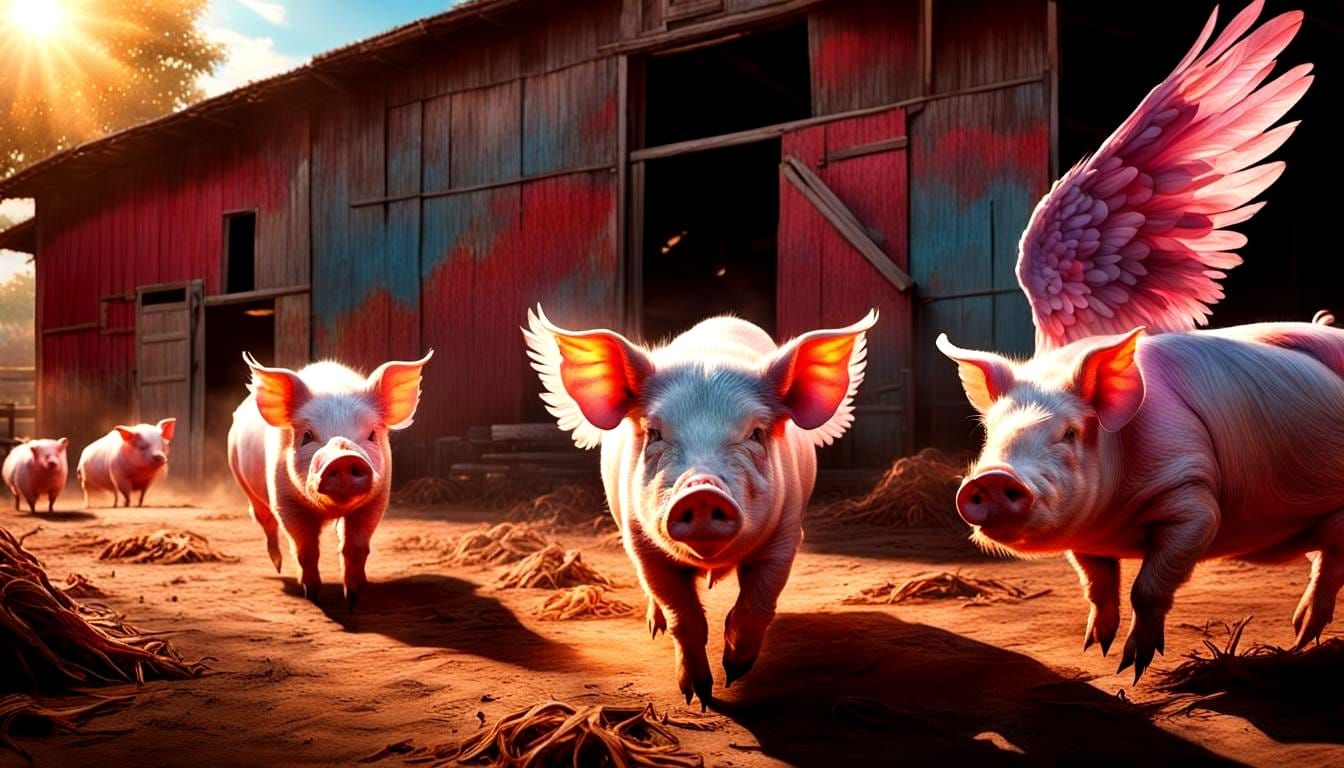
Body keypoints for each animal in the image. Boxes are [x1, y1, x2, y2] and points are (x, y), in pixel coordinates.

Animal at [228, 351, 431, 609]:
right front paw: (313, 595)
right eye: (307, 436)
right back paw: (278, 566)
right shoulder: (284, 500)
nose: (343, 458)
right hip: (241, 476)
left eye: (372, 435)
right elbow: (305, 549)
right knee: (265, 520)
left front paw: (352, 600)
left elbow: (355, 547)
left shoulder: (377, 498)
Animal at [525, 306, 876, 706]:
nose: (702, 491)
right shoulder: (640, 540)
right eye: (655, 433)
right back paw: (654, 627)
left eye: (756, 433)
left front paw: (734, 672)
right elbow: (683, 616)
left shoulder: (786, 534)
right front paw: (698, 697)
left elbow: (759, 602)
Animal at [939, 322, 1344, 681]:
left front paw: (1130, 668)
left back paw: (1302, 633)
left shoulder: (1192, 492)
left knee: (1331, 562)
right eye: (990, 432)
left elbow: (1146, 588)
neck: (1112, 524)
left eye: (1069, 433)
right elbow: (1096, 583)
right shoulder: (1086, 537)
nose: (994, 477)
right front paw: (1096, 645)